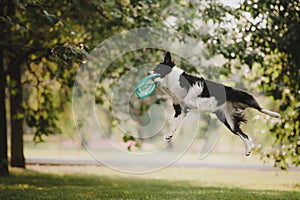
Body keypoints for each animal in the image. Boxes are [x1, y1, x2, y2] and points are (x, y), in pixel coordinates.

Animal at [148, 50, 282, 155]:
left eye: (158, 68)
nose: (148, 73)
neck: (171, 83)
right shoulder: (179, 109)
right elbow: (174, 122)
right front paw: (169, 134)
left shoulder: (197, 86)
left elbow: (190, 97)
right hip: (228, 121)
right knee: (244, 135)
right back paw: (248, 149)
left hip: (243, 97)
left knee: (259, 108)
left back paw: (276, 115)